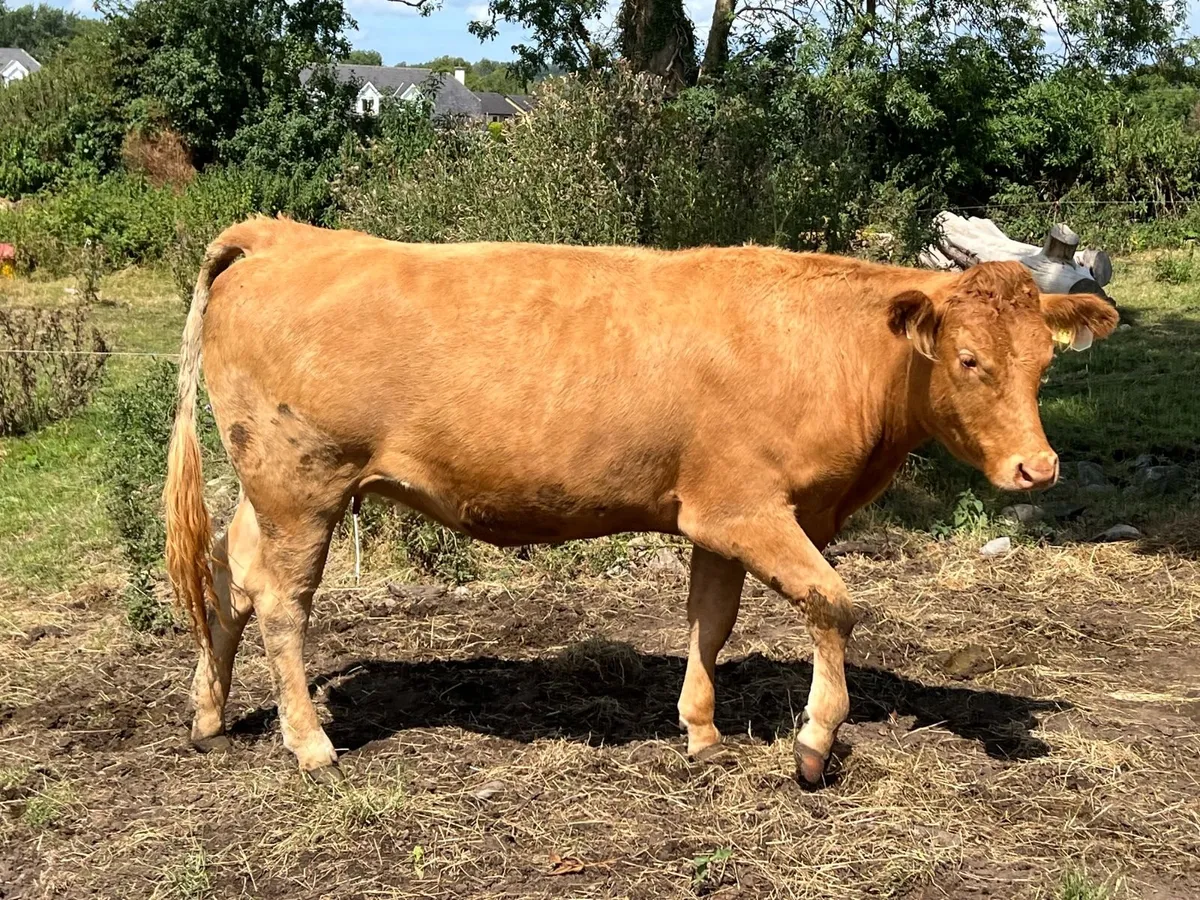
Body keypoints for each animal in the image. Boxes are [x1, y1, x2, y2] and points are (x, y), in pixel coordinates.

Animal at [164, 216, 1118, 785]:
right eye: (969, 360)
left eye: (1044, 361)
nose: (1038, 469)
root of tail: (284, 234)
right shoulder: (749, 510)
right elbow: (834, 603)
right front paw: (813, 744)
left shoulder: (715, 513)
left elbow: (710, 622)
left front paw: (701, 732)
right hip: (304, 484)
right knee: (282, 604)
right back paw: (311, 744)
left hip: (268, 487)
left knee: (229, 576)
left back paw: (210, 716)